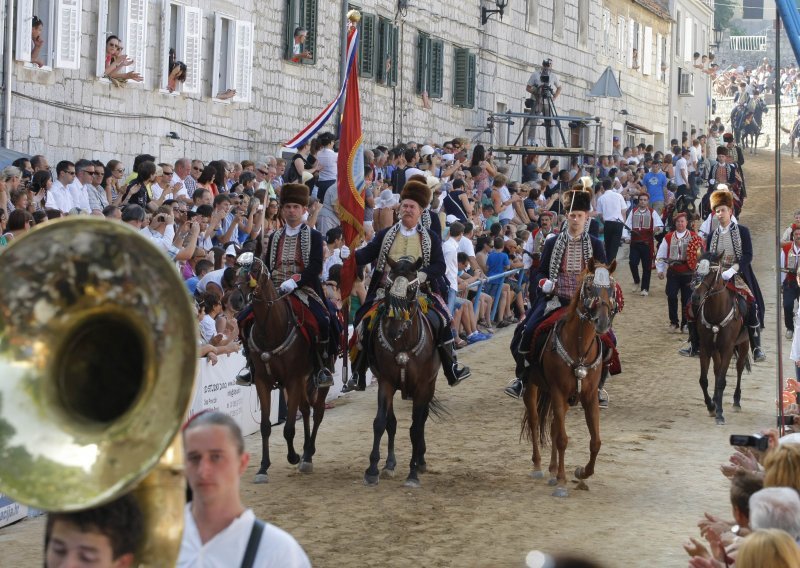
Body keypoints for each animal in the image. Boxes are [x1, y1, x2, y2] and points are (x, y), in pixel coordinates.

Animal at [242, 258, 332, 484]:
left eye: (254, 269)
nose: (237, 298)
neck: (272, 330)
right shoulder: (263, 382)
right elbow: (266, 426)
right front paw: (263, 468)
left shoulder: (292, 380)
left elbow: (289, 428)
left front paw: (294, 456)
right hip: (303, 381)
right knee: (306, 410)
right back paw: (307, 450)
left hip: (318, 377)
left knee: (317, 412)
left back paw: (307, 456)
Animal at [362, 256, 444, 488]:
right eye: (389, 288)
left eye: (410, 290)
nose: (393, 330)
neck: (403, 346)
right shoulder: (386, 382)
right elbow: (381, 422)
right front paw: (372, 469)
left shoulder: (423, 386)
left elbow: (415, 429)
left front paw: (413, 473)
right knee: (392, 422)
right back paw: (389, 465)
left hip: (431, 384)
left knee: (422, 420)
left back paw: (421, 461)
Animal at [520, 260, 620, 496]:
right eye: (589, 288)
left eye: (611, 289)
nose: (602, 322)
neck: (579, 347)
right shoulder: (558, 391)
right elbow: (562, 439)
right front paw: (563, 482)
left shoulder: (589, 396)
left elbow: (595, 442)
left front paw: (581, 473)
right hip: (533, 386)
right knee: (536, 420)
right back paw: (539, 467)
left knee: (554, 424)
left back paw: (553, 470)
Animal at [692, 253, 752, 426]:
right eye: (697, 268)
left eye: (713, 273)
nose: (696, 297)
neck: (716, 312)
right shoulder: (706, 347)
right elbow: (704, 380)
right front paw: (711, 406)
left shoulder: (727, 348)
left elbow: (721, 381)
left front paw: (719, 413)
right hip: (715, 350)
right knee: (717, 370)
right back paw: (715, 399)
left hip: (744, 344)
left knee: (739, 368)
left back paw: (736, 402)